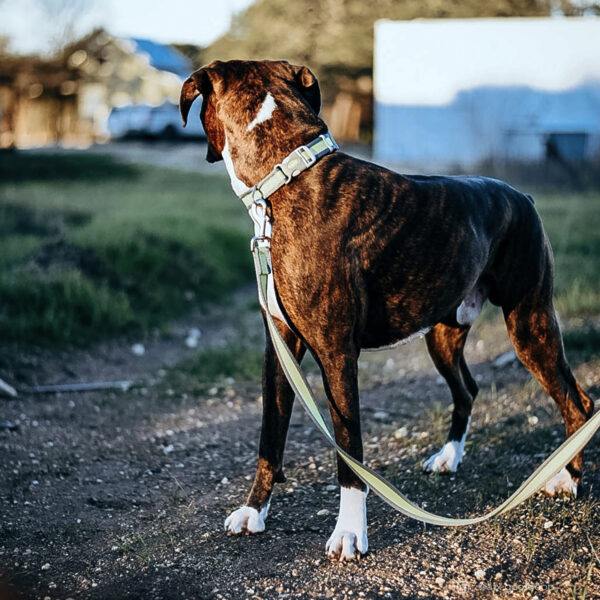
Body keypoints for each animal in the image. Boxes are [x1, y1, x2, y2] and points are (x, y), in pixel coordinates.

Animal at [178, 58, 596, 560]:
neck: (286, 174)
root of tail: (524, 198)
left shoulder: (337, 357)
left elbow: (349, 452)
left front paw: (349, 533)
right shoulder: (279, 352)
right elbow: (269, 436)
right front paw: (255, 510)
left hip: (530, 326)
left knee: (577, 402)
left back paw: (566, 479)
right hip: (444, 337)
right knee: (468, 389)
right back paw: (450, 456)